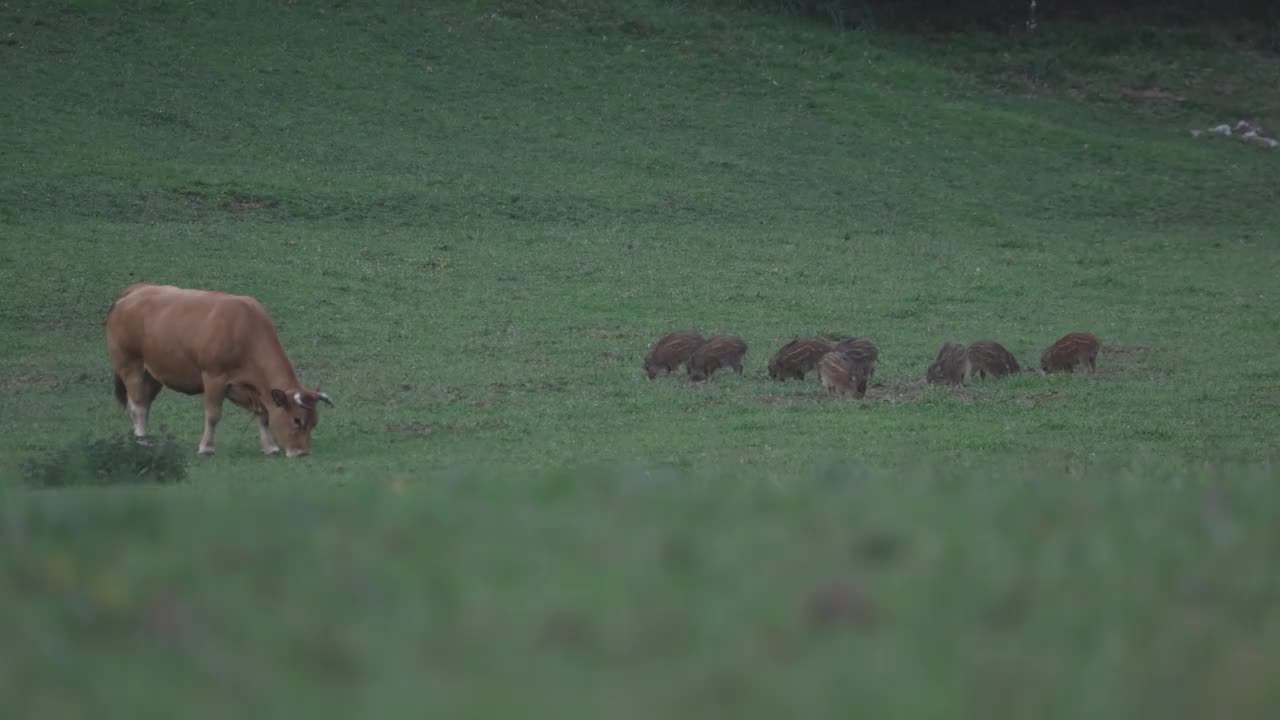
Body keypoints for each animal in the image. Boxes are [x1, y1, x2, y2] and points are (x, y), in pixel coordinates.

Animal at [104, 283, 332, 456]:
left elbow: (263, 413)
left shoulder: (250, 388)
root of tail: (135, 291)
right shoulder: (214, 378)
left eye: (314, 423)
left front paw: (270, 447)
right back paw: (142, 440)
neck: (245, 330)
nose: (302, 453)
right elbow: (213, 415)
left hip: (153, 375)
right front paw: (206, 447)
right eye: (297, 420)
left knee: (144, 404)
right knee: (137, 406)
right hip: (130, 366)